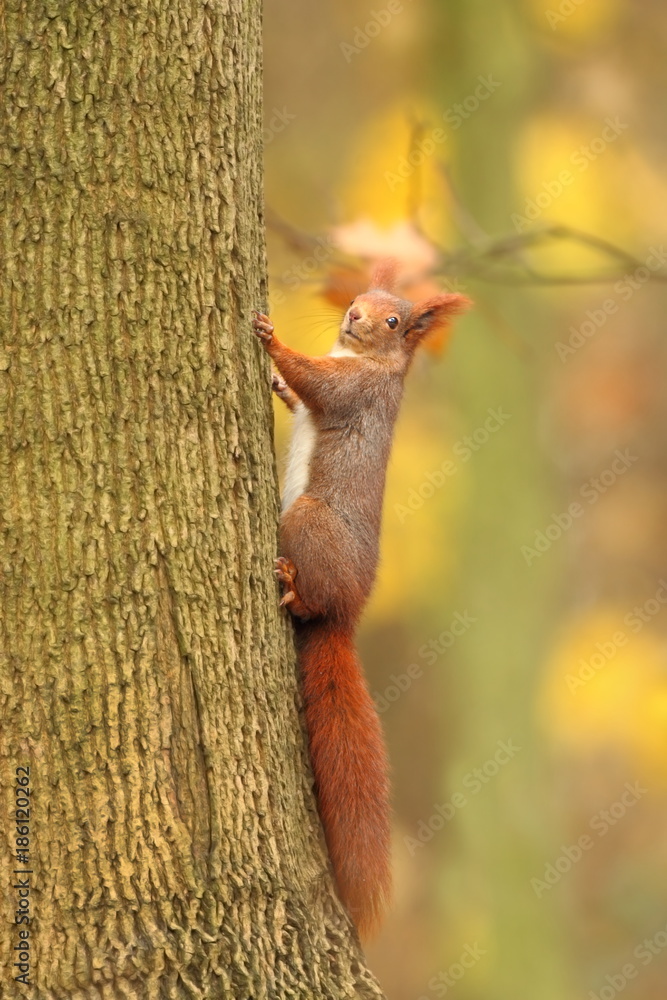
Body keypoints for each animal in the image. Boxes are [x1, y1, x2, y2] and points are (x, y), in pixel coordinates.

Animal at [252, 260, 470, 938]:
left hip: (307, 521)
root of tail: (346, 616)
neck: (358, 356)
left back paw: (293, 589)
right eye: (360, 295)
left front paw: (273, 342)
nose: (353, 315)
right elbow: (301, 395)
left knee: (308, 602)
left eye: (394, 320)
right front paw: (276, 382)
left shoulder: (355, 392)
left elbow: (317, 383)